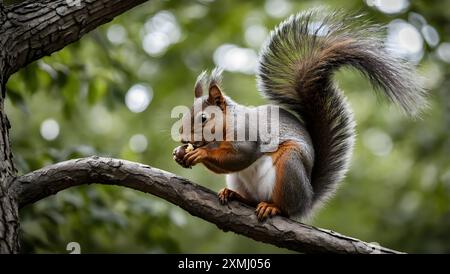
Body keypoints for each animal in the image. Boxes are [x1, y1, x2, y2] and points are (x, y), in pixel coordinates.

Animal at [172, 9, 426, 222]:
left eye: (203, 119)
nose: (184, 139)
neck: (223, 130)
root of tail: (307, 200)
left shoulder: (248, 135)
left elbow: (239, 156)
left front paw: (200, 153)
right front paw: (179, 154)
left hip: (289, 165)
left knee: (285, 207)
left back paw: (272, 207)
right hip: (242, 180)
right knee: (251, 198)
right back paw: (234, 194)